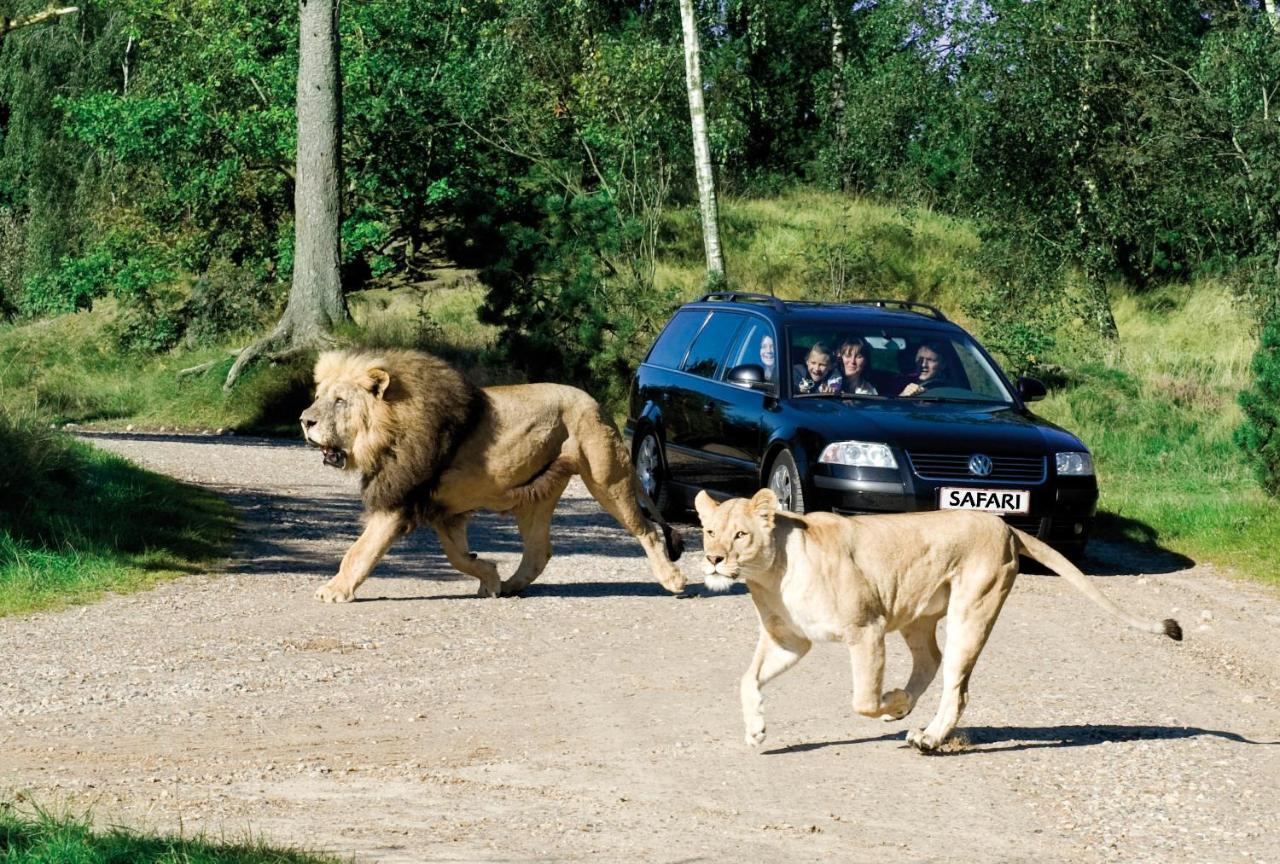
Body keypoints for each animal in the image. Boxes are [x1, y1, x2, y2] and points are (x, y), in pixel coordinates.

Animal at [298, 350, 686, 601]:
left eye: (340, 401)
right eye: (317, 396)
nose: (304, 420)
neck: (385, 430)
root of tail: (597, 404)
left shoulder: (399, 500)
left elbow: (360, 551)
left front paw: (334, 590)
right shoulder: (443, 510)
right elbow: (456, 557)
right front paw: (490, 576)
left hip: (608, 479)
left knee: (647, 531)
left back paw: (672, 580)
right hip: (536, 496)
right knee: (539, 551)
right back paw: (513, 586)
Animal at [696, 488, 1182, 752]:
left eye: (740, 535)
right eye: (709, 531)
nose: (713, 560)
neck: (771, 575)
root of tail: (1005, 525)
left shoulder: (867, 630)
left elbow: (863, 700)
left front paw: (890, 702)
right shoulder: (789, 639)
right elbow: (748, 680)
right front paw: (756, 731)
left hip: (973, 608)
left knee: (956, 685)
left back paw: (927, 737)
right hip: (917, 614)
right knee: (930, 660)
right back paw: (911, 714)